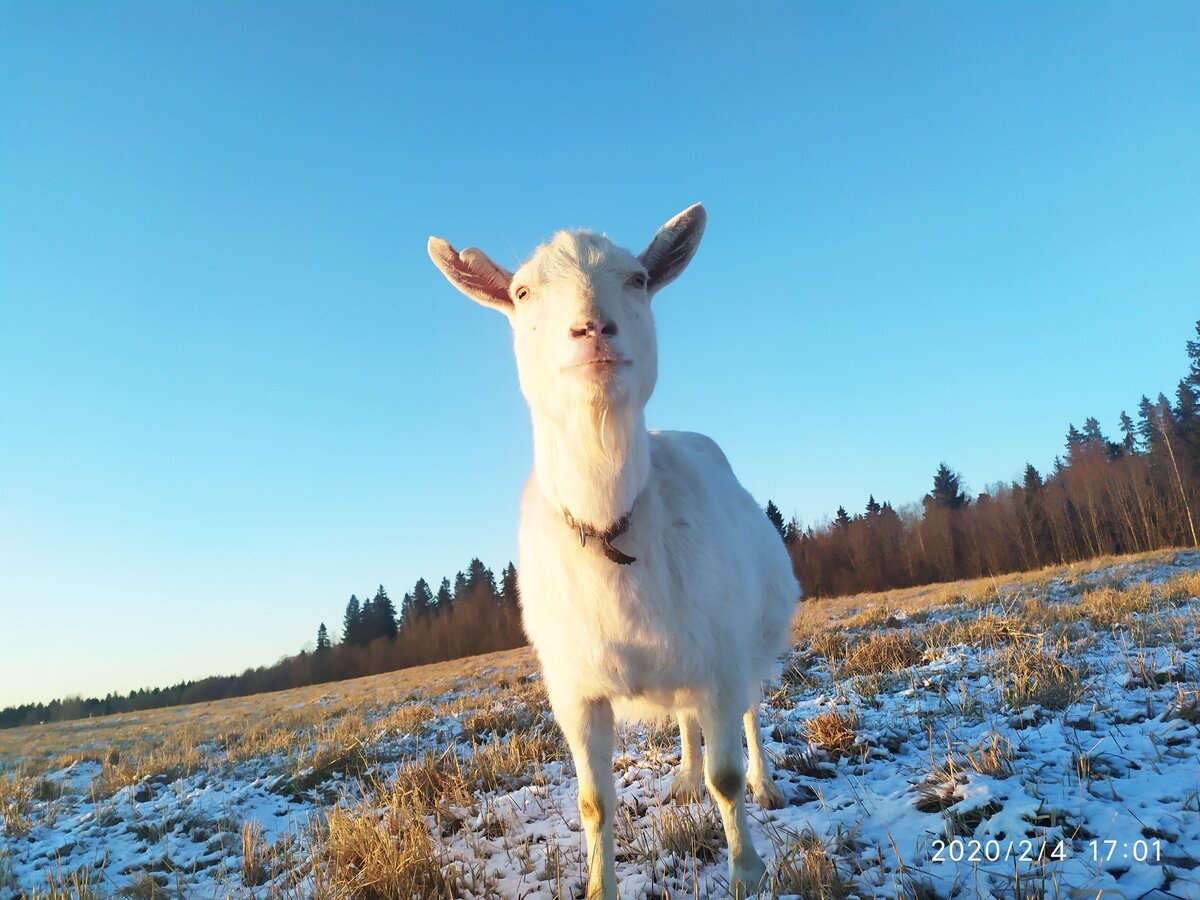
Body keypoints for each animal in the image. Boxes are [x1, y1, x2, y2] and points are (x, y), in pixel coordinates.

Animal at [427, 207, 801, 897]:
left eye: (638, 278)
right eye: (522, 292)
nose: (592, 328)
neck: (611, 527)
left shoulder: (720, 659)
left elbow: (727, 778)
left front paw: (746, 870)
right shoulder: (576, 692)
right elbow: (595, 802)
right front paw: (600, 886)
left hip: (746, 643)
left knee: (750, 716)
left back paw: (766, 785)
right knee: (685, 719)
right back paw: (683, 777)